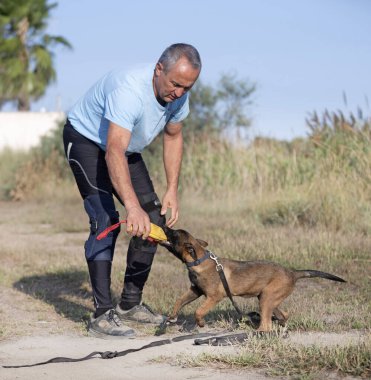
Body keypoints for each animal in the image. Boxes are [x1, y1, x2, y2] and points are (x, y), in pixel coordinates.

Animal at [161, 227, 348, 332]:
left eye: (174, 234)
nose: (164, 225)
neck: (198, 260)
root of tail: (292, 272)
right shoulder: (195, 290)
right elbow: (179, 300)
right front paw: (172, 316)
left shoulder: (213, 297)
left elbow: (198, 311)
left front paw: (200, 323)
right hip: (268, 298)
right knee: (282, 315)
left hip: (267, 298)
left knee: (266, 325)